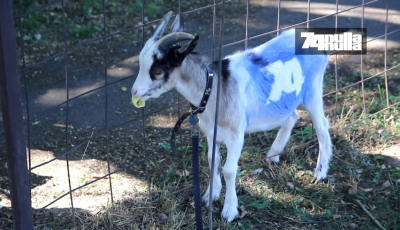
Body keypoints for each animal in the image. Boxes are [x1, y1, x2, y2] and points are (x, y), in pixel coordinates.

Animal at [130, 11, 332, 222]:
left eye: (157, 71)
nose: (134, 92)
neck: (214, 87)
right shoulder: (211, 133)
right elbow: (212, 160)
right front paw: (210, 196)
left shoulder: (236, 135)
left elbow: (228, 169)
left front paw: (229, 210)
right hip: (289, 100)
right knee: (292, 116)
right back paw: (274, 154)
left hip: (312, 93)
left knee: (322, 127)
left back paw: (320, 172)